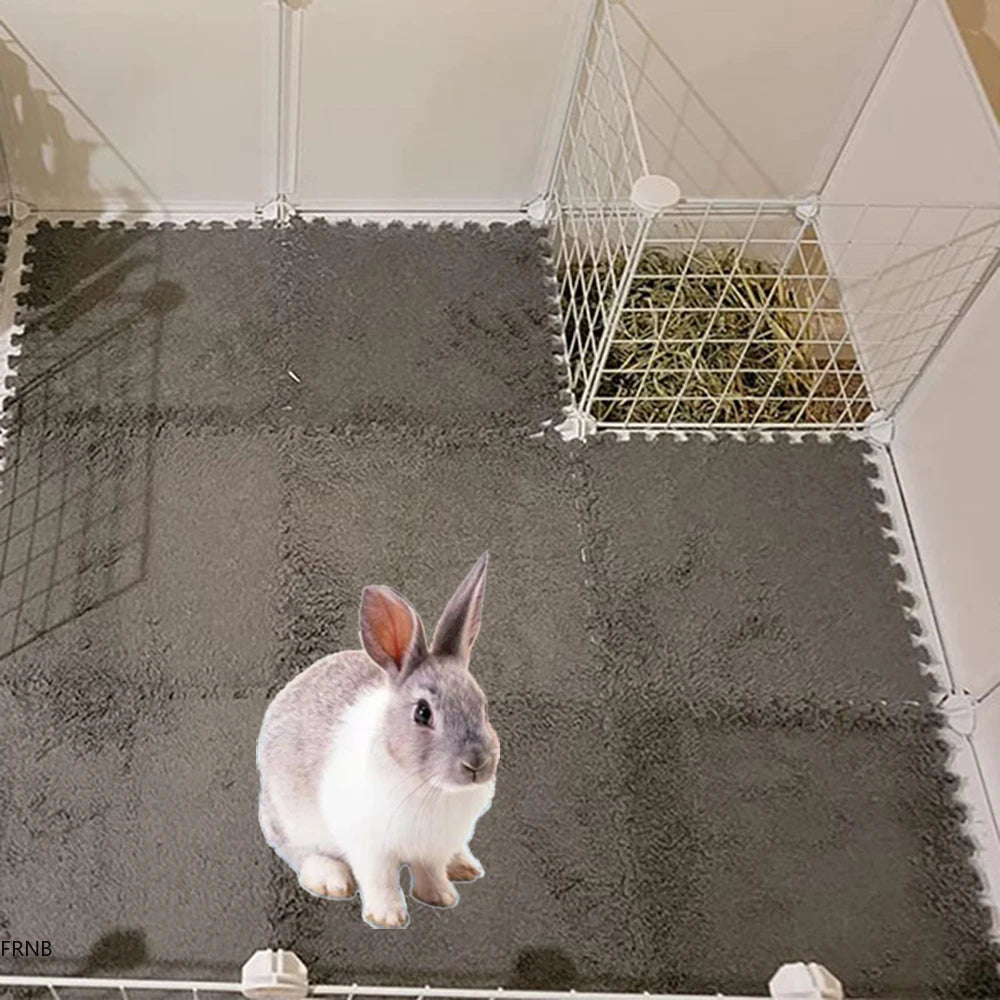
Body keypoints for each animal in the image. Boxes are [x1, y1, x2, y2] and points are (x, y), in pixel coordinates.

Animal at [256, 552, 500, 929]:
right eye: (423, 713)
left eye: (483, 705)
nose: (476, 763)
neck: (429, 787)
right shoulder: (369, 847)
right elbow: (380, 879)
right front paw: (387, 917)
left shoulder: (432, 848)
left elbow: (430, 872)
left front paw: (441, 896)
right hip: (289, 817)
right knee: (298, 851)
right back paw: (330, 878)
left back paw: (463, 865)